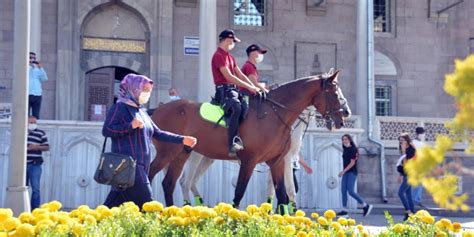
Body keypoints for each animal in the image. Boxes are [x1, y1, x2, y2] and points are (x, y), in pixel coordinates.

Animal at [148, 70, 348, 209]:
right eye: (334, 94)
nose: (344, 116)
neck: (273, 113)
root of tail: (156, 110)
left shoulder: (276, 161)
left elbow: (282, 194)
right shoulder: (250, 160)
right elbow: (240, 192)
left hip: (182, 153)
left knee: (170, 183)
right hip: (169, 152)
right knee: (154, 176)